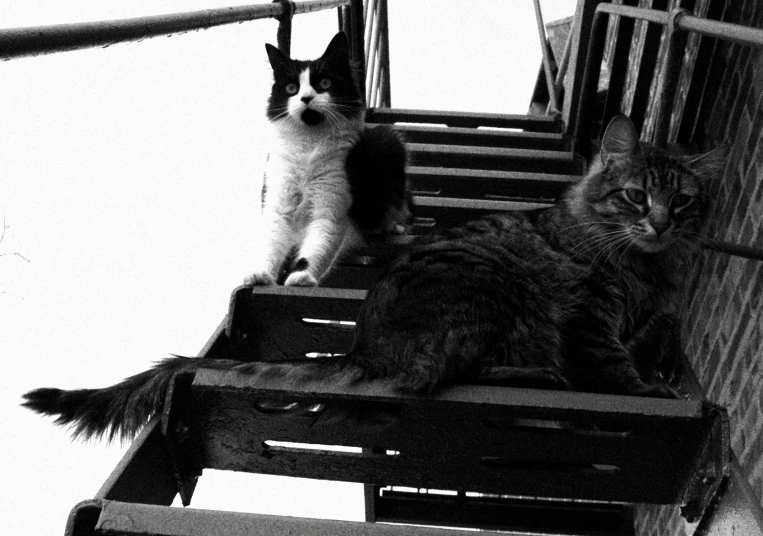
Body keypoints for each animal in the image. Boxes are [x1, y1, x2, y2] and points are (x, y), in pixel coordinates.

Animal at [22, 113, 728, 440]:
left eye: (683, 202)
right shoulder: (590, 313)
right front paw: (651, 391)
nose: (661, 223)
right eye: (636, 197)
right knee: (444, 375)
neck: (645, 266)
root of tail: (361, 345)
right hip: (494, 294)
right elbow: (615, 369)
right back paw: (536, 377)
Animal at [245, 31, 412, 286]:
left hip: (389, 142)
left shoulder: (330, 208)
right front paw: (260, 275)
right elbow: (270, 246)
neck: (308, 146)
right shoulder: (278, 206)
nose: (305, 98)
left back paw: (393, 226)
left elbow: (315, 250)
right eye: (292, 88)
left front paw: (302, 277)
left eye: (324, 83)